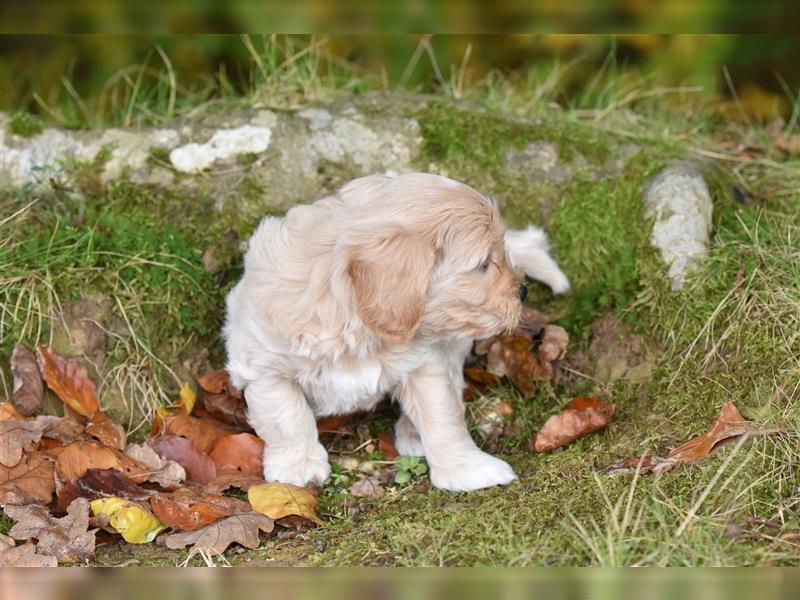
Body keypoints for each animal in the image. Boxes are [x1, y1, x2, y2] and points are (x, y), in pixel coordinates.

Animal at [225, 172, 568, 492]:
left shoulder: (422, 364)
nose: (522, 291)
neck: (356, 327)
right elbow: (287, 418)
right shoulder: (264, 365)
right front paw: (298, 466)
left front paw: (467, 470)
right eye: (483, 264)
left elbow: (443, 418)